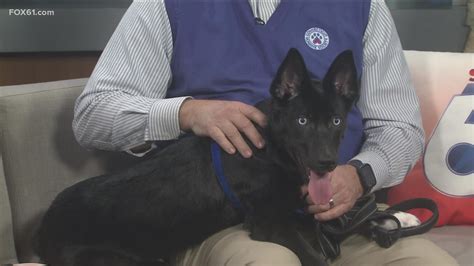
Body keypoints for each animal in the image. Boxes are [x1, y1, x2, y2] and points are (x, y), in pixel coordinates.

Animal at [35, 48, 360, 266]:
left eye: (336, 121)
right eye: (302, 121)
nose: (327, 163)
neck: (268, 149)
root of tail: (43, 228)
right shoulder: (271, 223)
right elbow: (314, 257)